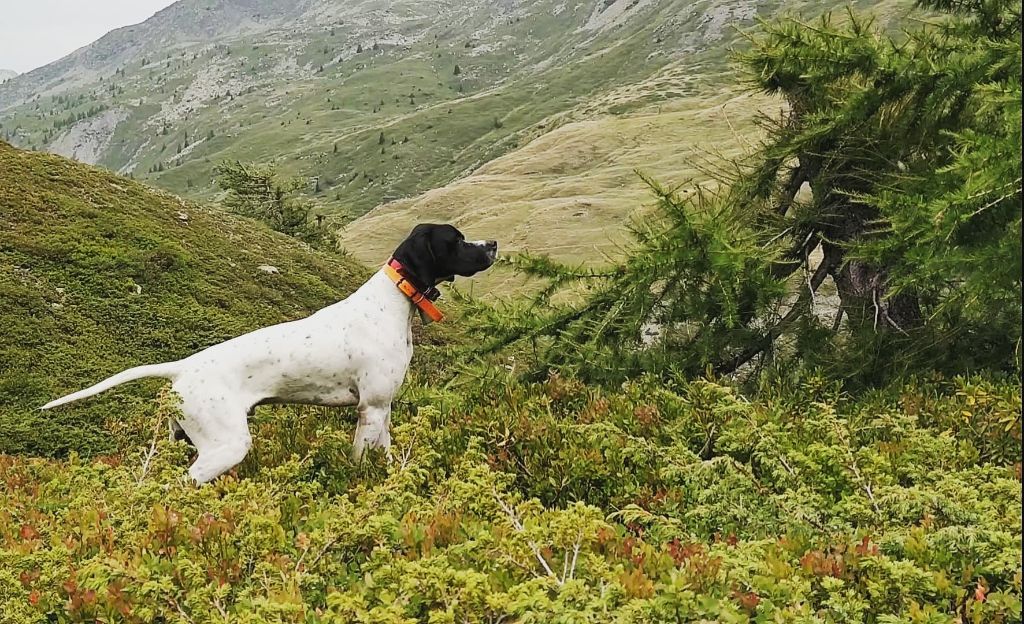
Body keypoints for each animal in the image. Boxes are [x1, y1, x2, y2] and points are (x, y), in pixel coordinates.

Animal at [41, 223, 497, 481]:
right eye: (456, 240)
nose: (492, 243)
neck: (393, 300)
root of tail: (182, 367)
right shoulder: (370, 409)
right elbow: (360, 462)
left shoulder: (382, 410)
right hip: (226, 444)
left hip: (184, 438)